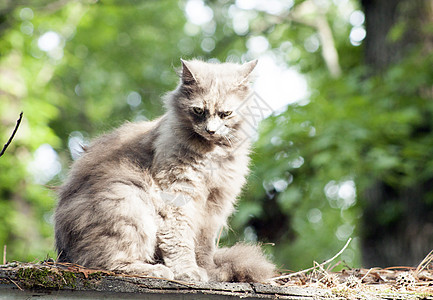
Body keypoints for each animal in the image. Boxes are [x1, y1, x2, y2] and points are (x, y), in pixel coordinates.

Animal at [54, 58, 274, 282]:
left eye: (225, 114)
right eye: (198, 111)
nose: (210, 130)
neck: (212, 153)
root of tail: (63, 252)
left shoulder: (216, 204)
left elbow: (204, 246)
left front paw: (210, 271)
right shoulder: (177, 193)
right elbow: (179, 238)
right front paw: (188, 271)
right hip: (127, 199)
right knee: (105, 262)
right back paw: (156, 270)